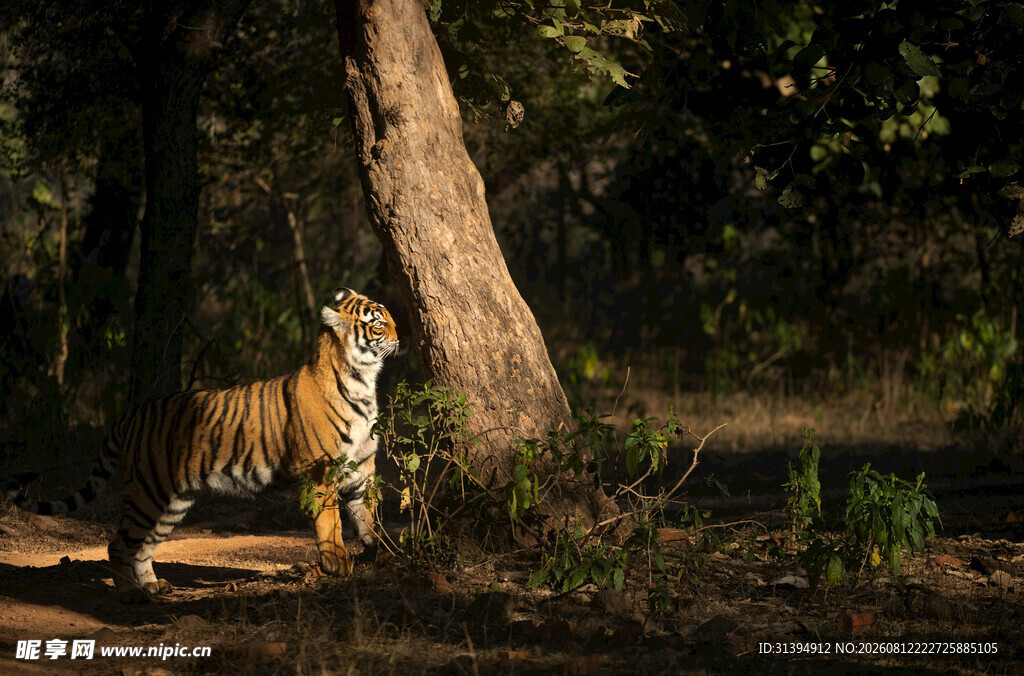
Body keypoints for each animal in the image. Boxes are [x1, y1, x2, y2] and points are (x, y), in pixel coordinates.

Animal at [7, 287, 398, 601]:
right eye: (379, 323)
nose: (400, 337)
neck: (363, 382)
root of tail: (130, 415)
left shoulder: (362, 469)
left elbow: (369, 515)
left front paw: (384, 553)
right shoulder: (321, 470)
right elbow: (330, 521)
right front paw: (337, 564)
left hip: (172, 500)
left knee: (144, 545)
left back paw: (153, 586)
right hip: (146, 491)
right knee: (118, 543)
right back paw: (130, 593)